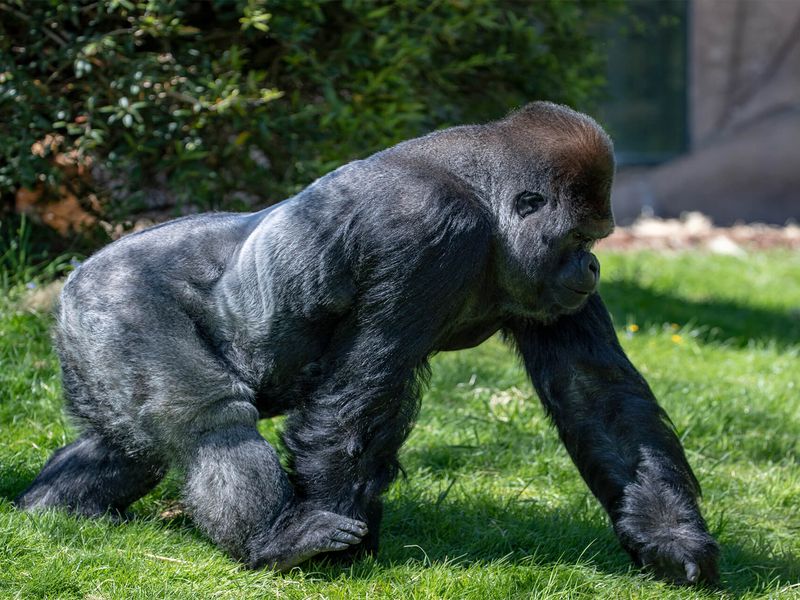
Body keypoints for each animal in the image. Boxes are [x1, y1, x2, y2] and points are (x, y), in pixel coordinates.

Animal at [17, 101, 720, 584]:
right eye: (582, 239)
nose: (594, 268)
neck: (484, 198)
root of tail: (74, 279)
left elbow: (593, 395)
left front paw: (670, 540)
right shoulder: (431, 230)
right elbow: (353, 402)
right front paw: (342, 555)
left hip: (91, 338)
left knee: (127, 446)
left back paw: (50, 510)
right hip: (118, 297)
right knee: (209, 423)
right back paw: (271, 541)